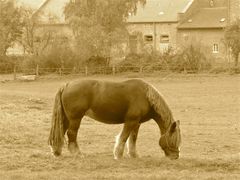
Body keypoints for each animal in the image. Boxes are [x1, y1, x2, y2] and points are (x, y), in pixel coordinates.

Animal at [47, 79, 181, 159]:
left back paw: (57, 152)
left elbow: (133, 139)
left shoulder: (136, 123)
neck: (146, 96)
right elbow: (124, 137)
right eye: (173, 139)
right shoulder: (130, 121)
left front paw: (134, 155)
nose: (175, 156)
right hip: (75, 119)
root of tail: (67, 85)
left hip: (66, 119)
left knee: (61, 132)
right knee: (71, 134)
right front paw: (118, 155)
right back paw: (77, 153)